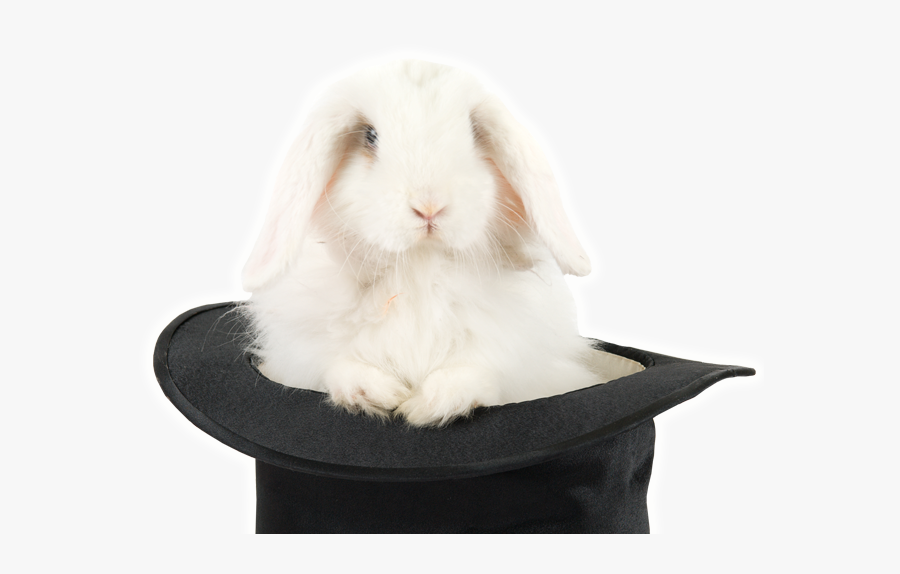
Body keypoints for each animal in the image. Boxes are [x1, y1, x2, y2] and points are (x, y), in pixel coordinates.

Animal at [241, 60, 602, 426]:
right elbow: (339, 365)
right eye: (370, 136)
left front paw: (429, 406)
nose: (430, 206)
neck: (419, 263)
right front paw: (378, 394)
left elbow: (475, 372)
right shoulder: (302, 351)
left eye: (474, 133)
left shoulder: (516, 356)